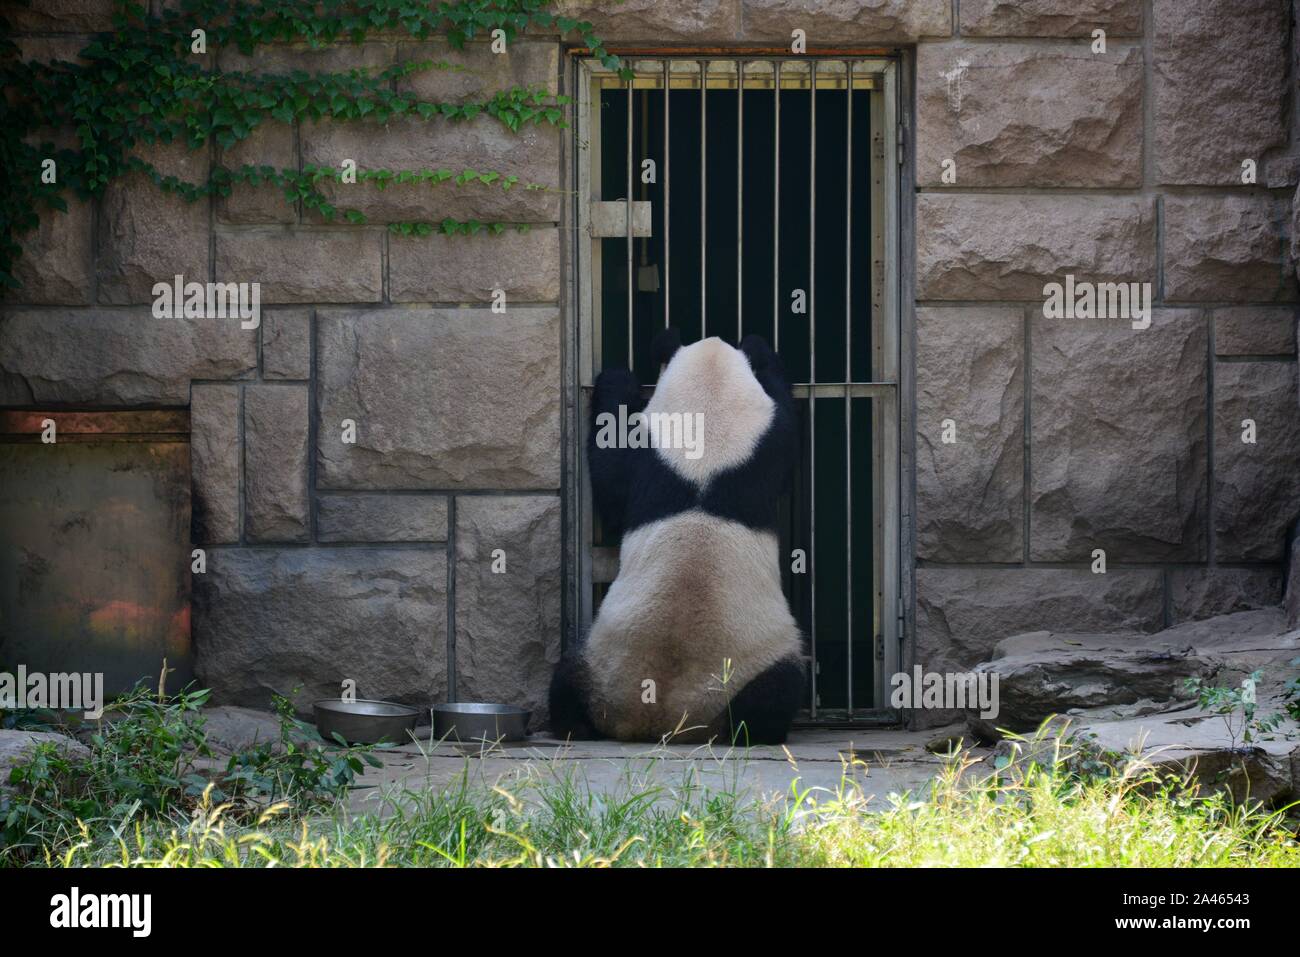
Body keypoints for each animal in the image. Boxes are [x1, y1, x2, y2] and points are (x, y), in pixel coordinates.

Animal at [551, 330, 811, 748]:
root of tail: (662, 716)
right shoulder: (661, 454)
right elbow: (611, 474)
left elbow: (612, 479)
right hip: (605, 658)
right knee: (777, 694)